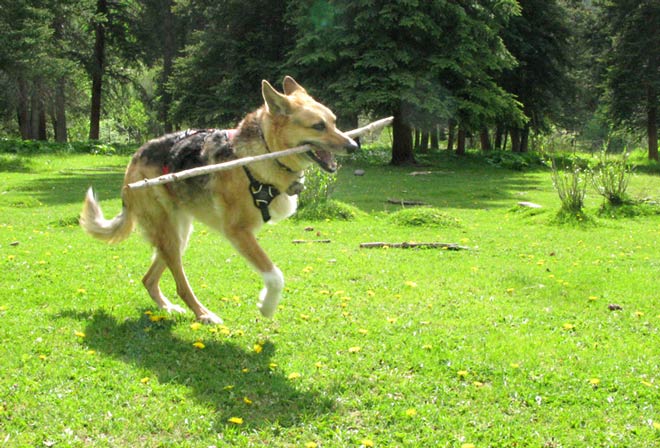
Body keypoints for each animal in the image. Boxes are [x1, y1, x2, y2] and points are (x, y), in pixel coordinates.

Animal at [80, 76, 358, 322]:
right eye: (318, 126)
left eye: (334, 122)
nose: (355, 146)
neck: (265, 152)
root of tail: (134, 160)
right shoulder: (237, 231)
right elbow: (275, 276)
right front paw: (266, 306)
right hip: (170, 234)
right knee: (180, 284)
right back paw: (203, 314)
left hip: (179, 234)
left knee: (149, 279)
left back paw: (168, 308)